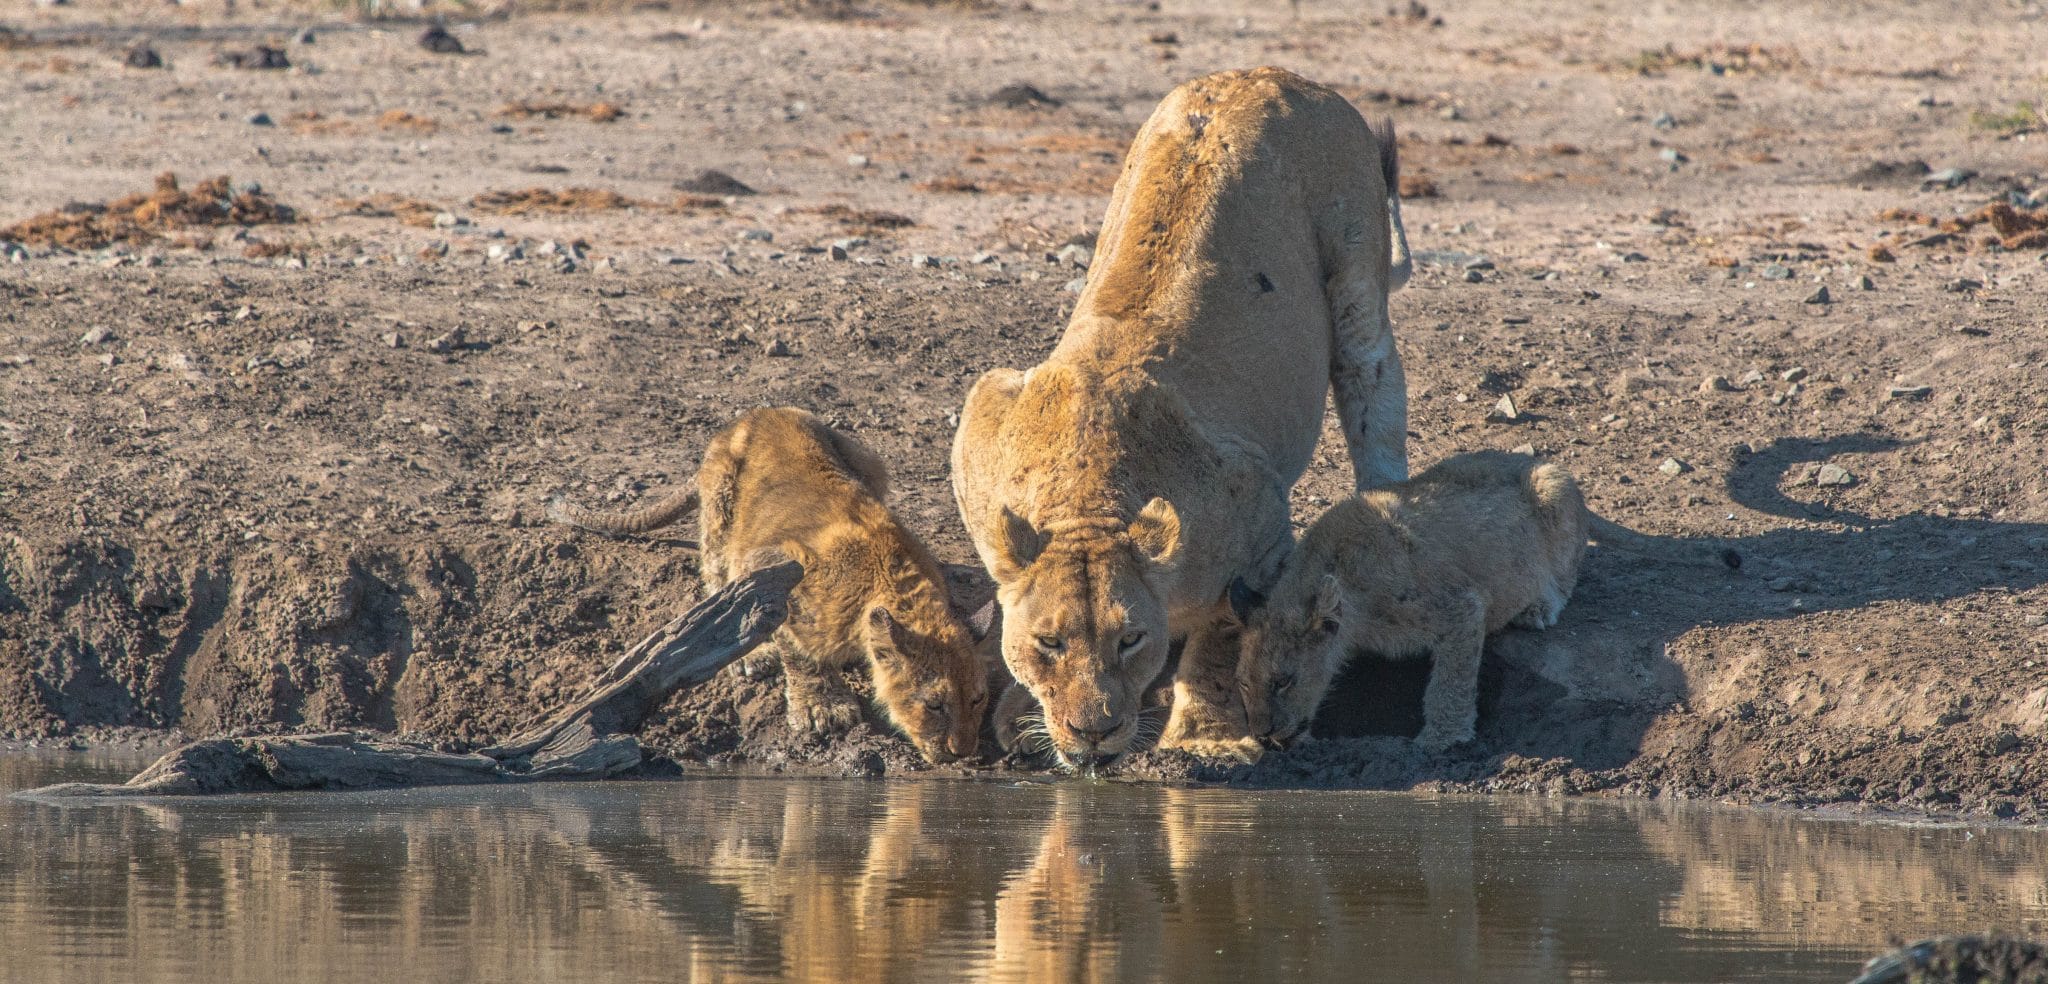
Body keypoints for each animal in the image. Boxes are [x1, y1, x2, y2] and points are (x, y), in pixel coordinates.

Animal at [551, 407, 993, 764]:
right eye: (935, 705)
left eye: (977, 698)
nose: (963, 753)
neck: (897, 586)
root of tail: (759, 412)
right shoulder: (774, 564)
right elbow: (796, 648)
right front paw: (821, 706)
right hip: (721, 508)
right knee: (719, 582)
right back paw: (750, 653)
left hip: (869, 460)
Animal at [951, 67, 1411, 767]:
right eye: (1050, 643)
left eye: (1131, 639)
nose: (1093, 731)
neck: (1086, 497)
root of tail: (1275, 73)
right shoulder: (984, 413)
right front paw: (1015, 714)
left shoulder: (1259, 519)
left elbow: (1222, 638)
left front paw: (1205, 735)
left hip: (1355, 260)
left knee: (1372, 387)